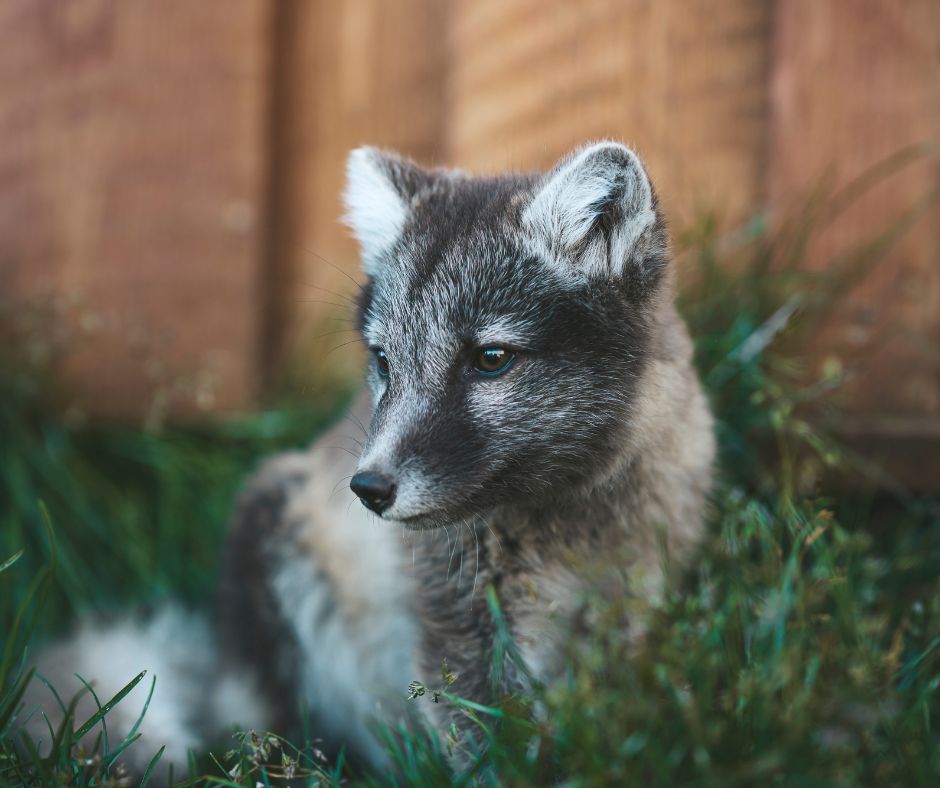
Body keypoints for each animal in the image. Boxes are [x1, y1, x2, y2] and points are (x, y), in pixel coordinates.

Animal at [22, 140, 712, 776]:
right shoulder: (452, 625)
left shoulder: (632, 611)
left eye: (491, 359)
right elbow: (487, 749)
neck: (569, 518)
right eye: (383, 360)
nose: (368, 489)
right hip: (272, 536)